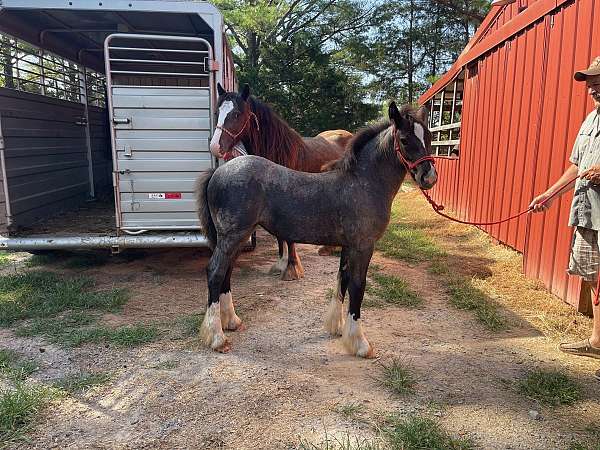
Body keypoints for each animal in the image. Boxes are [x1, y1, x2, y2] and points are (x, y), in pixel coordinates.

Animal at [210, 84, 352, 280]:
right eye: (218, 112)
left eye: (237, 114)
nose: (215, 146)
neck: (278, 154)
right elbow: (280, 236)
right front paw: (280, 264)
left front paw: (292, 268)